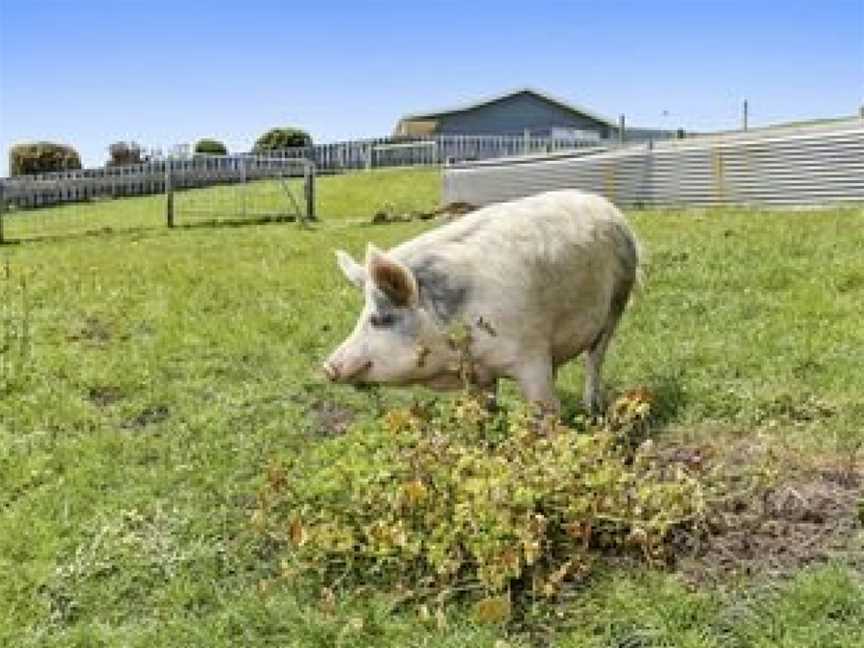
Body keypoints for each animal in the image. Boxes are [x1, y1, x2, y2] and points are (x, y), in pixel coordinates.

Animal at [322, 187, 640, 416]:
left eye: (380, 319)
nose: (327, 367)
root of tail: (608, 207)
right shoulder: (480, 373)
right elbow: (485, 409)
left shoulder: (531, 354)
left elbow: (546, 410)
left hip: (618, 299)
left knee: (595, 358)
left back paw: (592, 408)